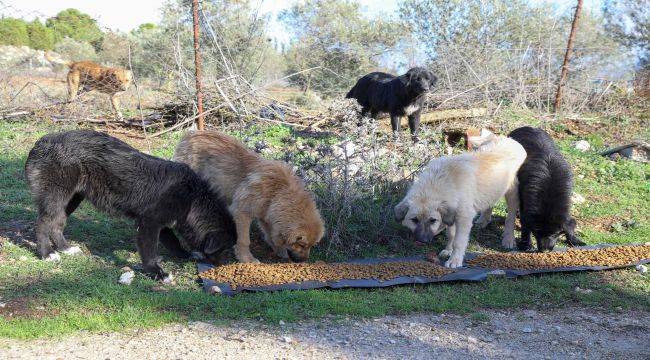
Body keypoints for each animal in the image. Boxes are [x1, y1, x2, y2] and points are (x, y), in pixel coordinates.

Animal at [26, 130, 238, 282]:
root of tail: (41, 142)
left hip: (72, 199)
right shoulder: (149, 222)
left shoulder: (163, 223)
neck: (192, 198)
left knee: (57, 223)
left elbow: (174, 242)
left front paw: (185, 254)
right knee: (43, 223)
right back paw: (46, 253)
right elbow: (150, 250)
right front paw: (156, 272)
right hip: (56, 197)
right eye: (227, 248)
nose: (226, 267)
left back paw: (65, 248)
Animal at [173, 131, 322, 262]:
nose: (303, 261)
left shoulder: (266, 214)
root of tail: (190, 135)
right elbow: (244, 240)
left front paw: (279, 250)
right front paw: (246, 258)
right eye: (301, 245)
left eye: (311, 246)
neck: (278, 192)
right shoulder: (242, 212)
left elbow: (270, 234)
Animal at [392, 136, 524, 268]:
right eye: (414, 220)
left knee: (510, 217)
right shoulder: (451, 214)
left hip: (512, 193)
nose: (423, 241)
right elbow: (451, 234)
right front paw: (448, 250)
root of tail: (511, 139)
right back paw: (483, 220)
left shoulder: (464, 218)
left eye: (433, 220)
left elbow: (458, 241)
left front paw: (454, 260)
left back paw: (508, 239)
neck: (440, 182)